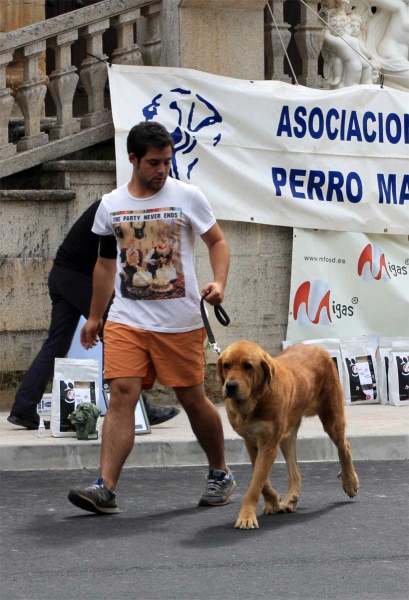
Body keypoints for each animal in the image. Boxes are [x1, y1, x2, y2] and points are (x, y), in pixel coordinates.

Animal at [217, 342, 356, 528]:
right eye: (226, 365)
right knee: (295, 471)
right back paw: (291, 499)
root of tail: (317, 347)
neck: (255, 400)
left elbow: (256, 484)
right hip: (286, 436)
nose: (230, 386)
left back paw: (350, 482)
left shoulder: (268, 444)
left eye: (248, 366)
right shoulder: (251, 441)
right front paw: (273, 501)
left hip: (331, 418)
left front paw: (246, 516)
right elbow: (261, 479)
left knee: (344, 446)